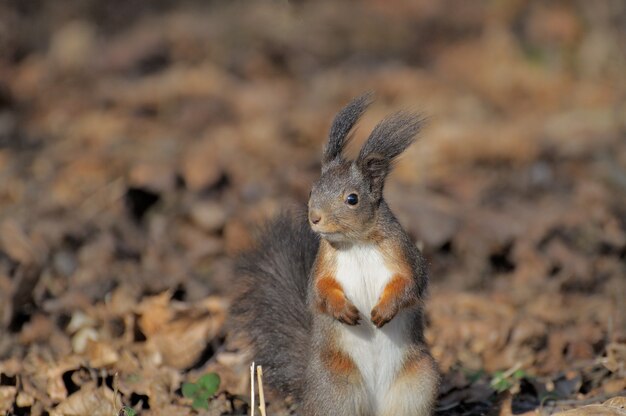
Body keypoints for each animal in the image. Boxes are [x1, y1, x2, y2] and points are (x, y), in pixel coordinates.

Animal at [230, 94, 438, 416]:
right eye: (312, 190)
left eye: (352, 199)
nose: (314, 218)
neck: (357, 243)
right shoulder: (323, 265)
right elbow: (319, 292)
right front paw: (345, 311)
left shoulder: (404, 256)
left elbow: (409, 285)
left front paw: (383, 310)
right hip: (336, 388)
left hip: (417, 385)